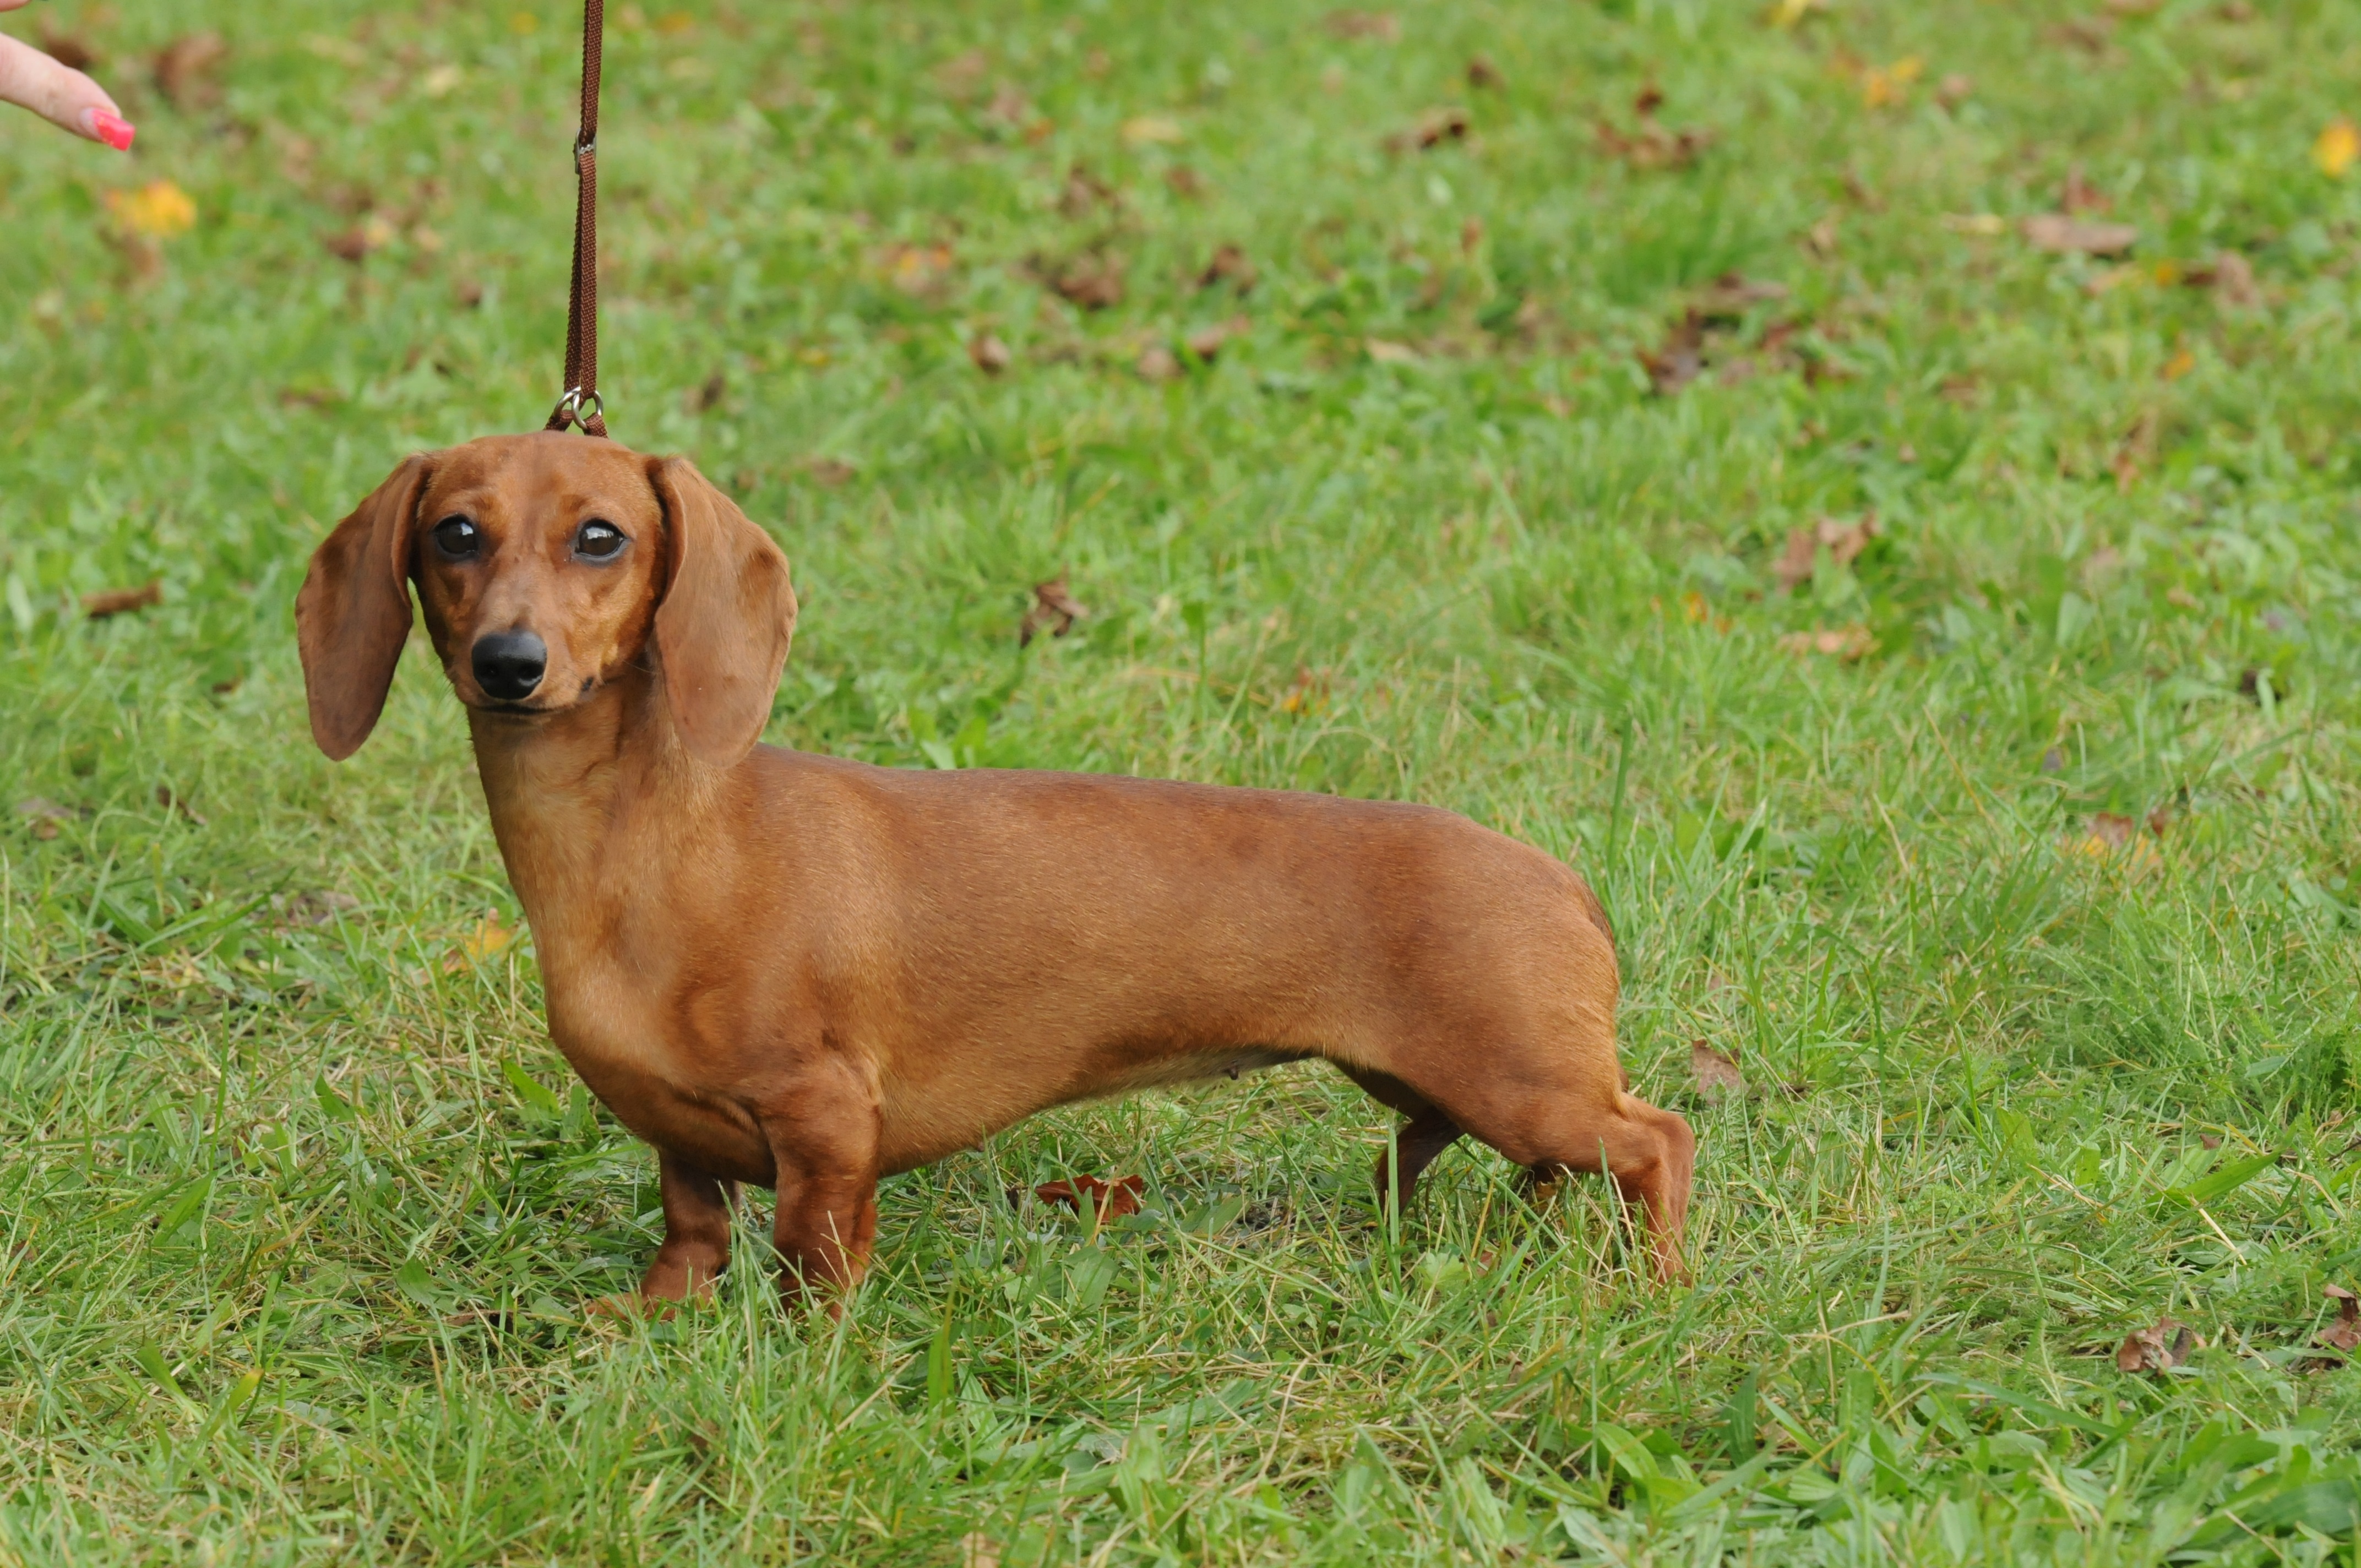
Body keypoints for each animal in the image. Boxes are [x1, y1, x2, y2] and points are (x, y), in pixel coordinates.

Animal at [295, 429, 1700, 1294]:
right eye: (454, 533)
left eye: (601, 537)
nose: (510, 664)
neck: (643, 839)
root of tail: (1560, 878)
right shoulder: (679, 1139)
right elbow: (691, 1229)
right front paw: (646, 1325)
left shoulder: (828, 1122)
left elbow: (813, 1259)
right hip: (1451, 1084)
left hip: (1524, 1080)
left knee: (1655, 1139)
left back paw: (1655, 1289)